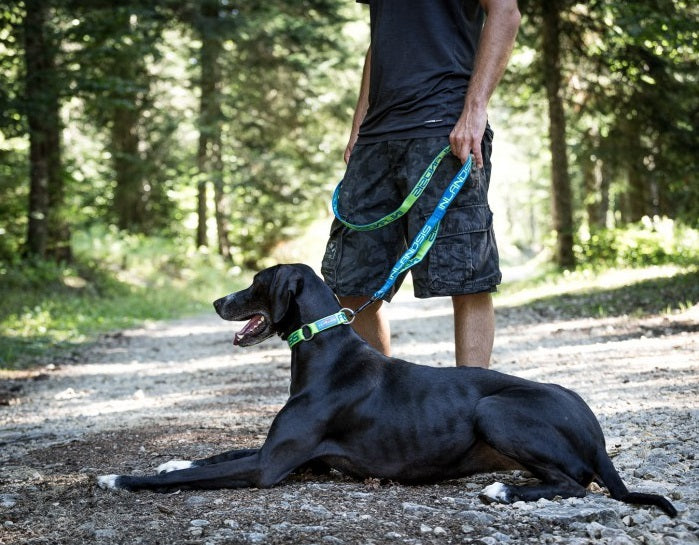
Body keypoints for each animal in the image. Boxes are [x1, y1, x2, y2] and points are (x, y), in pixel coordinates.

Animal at [98, 262, 680, 516]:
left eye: (258, 281)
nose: (218, 301)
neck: (324, 348)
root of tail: (595, 430)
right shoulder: (284, 454)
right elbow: (210, 455)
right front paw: (173, 460)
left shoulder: (269, 465)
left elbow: (191, 476)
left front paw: (118, 478)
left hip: (496, 409)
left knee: (576, 482)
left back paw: (503, 492)